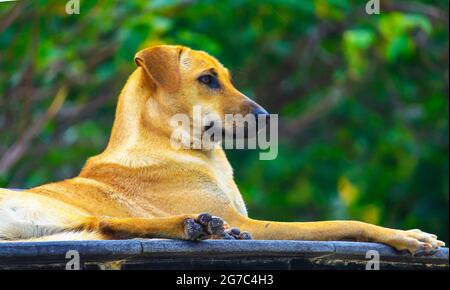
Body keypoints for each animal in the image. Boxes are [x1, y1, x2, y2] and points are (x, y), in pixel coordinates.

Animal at [0, 44, 442, 255]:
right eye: (208, 79)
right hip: (58, 210)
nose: (265, 115)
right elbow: (342, 224)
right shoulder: (256, 223)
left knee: (107, 224)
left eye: (227, 78)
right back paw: (197, 226)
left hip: (73, 223)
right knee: (107, 222)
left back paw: (201, 227)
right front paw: (406, 236)